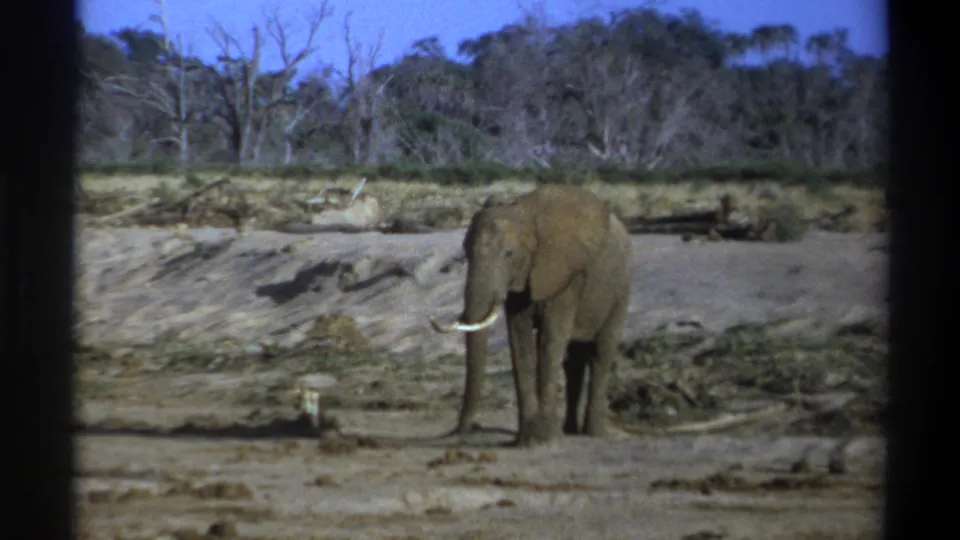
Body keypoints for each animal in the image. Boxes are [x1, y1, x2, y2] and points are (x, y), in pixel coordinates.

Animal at [430, 185, 633, 447]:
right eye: (466, 252)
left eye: (508, 254)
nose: (469, 428)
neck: (524, 213)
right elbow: (519, 337)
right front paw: (528, 440)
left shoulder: (566, 274)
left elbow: (551, 338)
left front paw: (544, 439)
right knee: (573, 360)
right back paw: (569, 431)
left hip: (621, 288)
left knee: (602, 352)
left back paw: (594, 434)